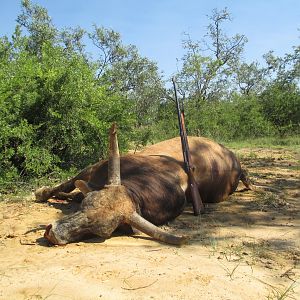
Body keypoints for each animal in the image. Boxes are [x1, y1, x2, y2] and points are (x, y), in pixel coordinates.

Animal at [38, 124, 253, 246]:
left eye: (97, 231)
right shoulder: (93, 168)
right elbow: (65, 185)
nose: (53, 234)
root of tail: (237, 163)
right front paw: (41, 192)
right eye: (85, 207)